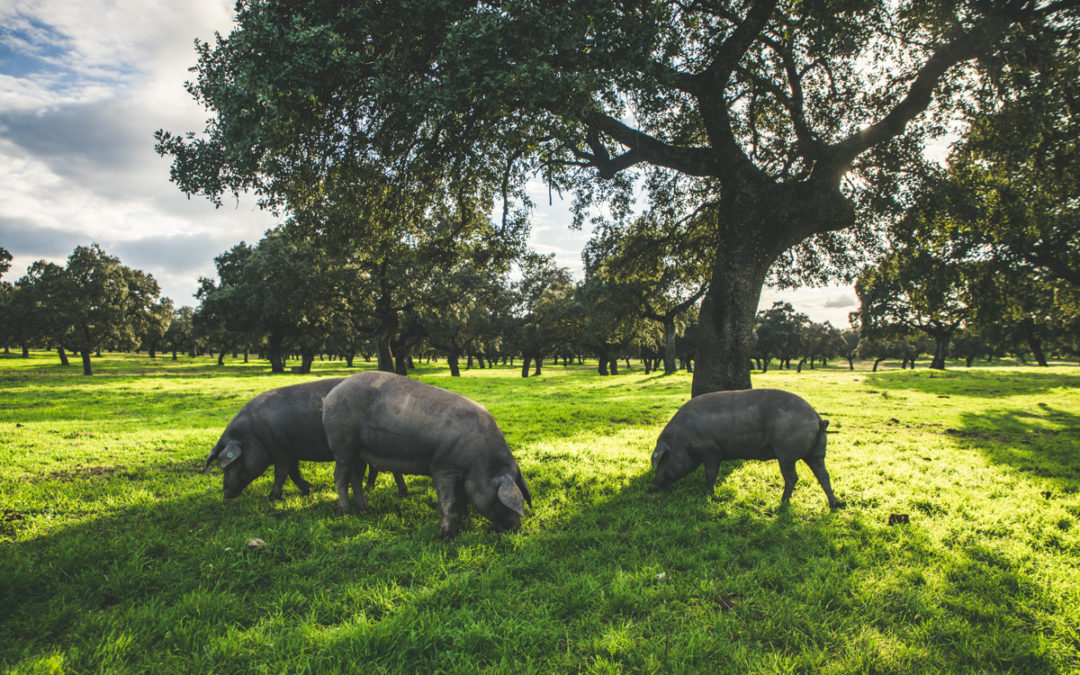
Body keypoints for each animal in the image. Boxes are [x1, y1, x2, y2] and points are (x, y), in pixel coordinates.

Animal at [204, 380, 406, 501]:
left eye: (229, 465)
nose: (226, 495)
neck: (254, 435)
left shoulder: (282, 450)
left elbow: (281, 473)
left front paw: (273, 497)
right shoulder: (290, 451)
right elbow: (293, 473)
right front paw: (308, 489)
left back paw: (397, 493)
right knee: (376, 467)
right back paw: (370, 488)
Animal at [321, 369, 533, 537]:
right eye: (501, 502)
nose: (518, 531)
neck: (480, 463)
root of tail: (332, 394)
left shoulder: (461, 474)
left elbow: (462, 498)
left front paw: (465, 520)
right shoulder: (442, 467)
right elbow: (447, 501)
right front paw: (448, 535)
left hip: (359, 452)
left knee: (356, 477)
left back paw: (365, 510)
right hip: (343, 445)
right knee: (340, 476)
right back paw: (346, 512)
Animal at [648, 386, 842, 507]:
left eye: (664, 458)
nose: (653, 488)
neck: (682, 440)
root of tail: (817, 419)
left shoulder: (712, 451)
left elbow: (710, 474)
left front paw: (709, 496)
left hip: (786, 453)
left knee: (793, 477)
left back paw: (782, 503)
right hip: (817, 453)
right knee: (824, 475)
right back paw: (835, 504)